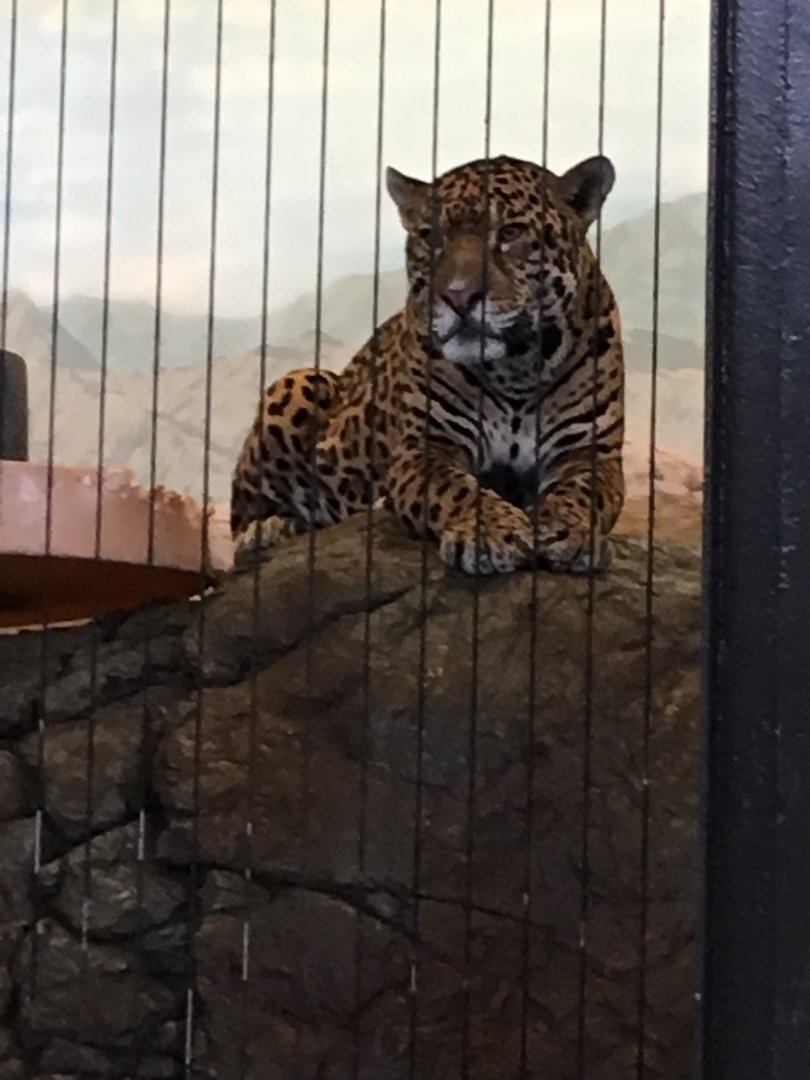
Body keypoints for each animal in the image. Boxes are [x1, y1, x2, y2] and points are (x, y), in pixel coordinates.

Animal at [230, 152, 624, 576]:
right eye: (432, 238)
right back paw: (264, 532)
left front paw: (572, 532)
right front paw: (491, 532)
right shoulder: (424, 447)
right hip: (297, 382)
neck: (514, 368)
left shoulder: (591, 453)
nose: (459, 296)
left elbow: (583, 492)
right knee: (244, 523)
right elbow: (455, 487)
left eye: (511, 232)